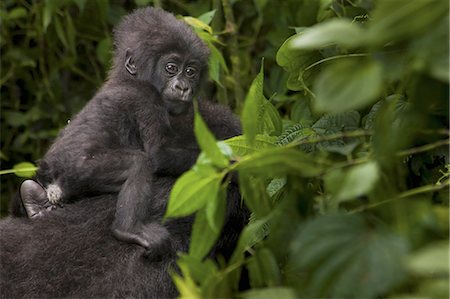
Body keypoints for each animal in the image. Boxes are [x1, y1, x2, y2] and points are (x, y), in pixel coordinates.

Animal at [11, 8, 236, 254]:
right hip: (81, 169)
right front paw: (231, 160)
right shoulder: (146, 97)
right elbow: (158, 152)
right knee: (139, 164)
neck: (126, 77)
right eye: (171, 68)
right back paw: (128, 230)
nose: (183, 87)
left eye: (191, 71)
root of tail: (52, 182)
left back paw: (35, 203)